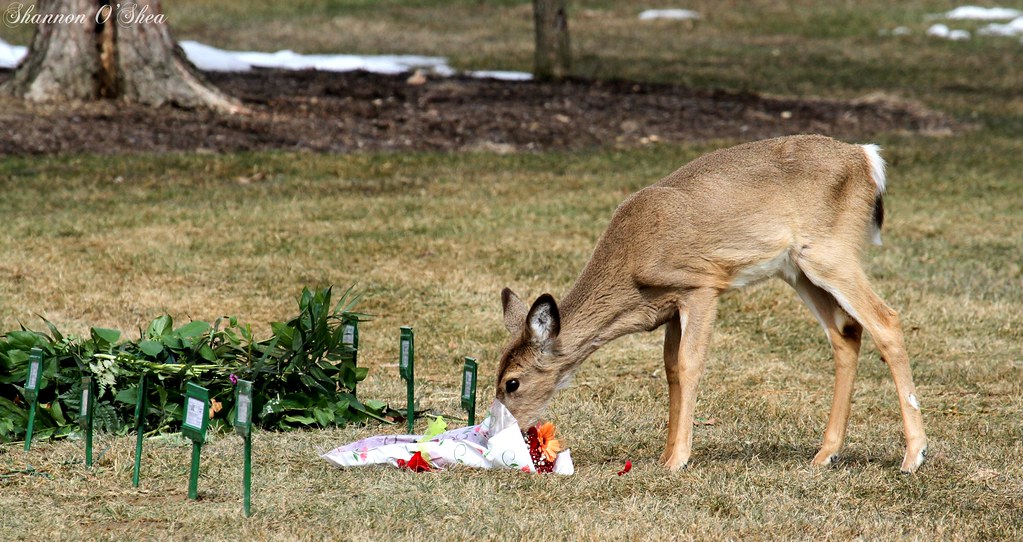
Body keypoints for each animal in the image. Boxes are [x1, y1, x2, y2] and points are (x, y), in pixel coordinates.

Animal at [495, 134, 928, 473]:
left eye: (511, 383)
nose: (500, 432)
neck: (632, 269)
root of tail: (867, 159)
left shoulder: (701, 285)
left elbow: (689, 365)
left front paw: (677, 460)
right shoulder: (669, 307)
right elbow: (670, 369)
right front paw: (665, 454)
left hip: (830, 251)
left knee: (886, 320)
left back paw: (913, 456)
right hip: (798, 269)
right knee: (846, 333)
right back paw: (826, 454)